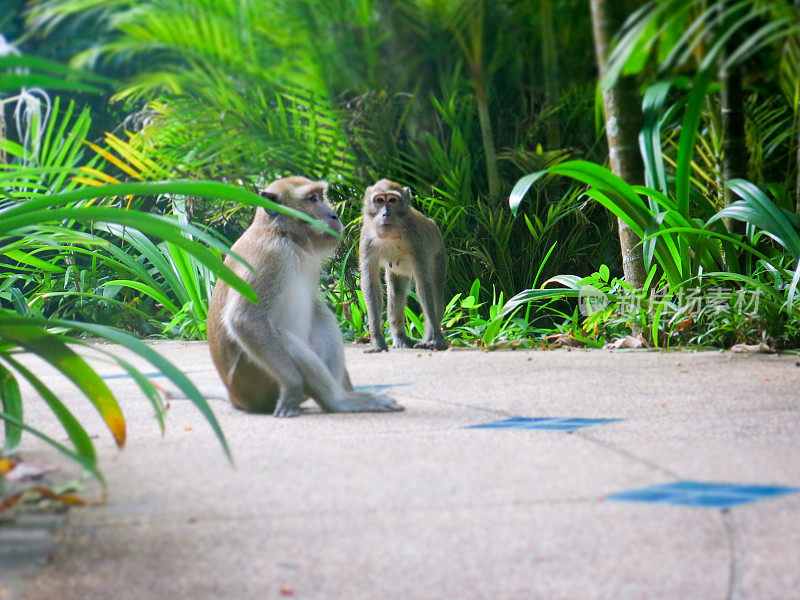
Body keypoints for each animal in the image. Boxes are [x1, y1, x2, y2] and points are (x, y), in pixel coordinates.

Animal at [208, 176, 404, 414]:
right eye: (312, 199)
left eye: (321, 196)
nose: (334, 214)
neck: (285, 235)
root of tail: (235, 397)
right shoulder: (269, 257)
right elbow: (244, 319)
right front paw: (292, 387)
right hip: (254, 380)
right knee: (283, 338)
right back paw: (337, 401)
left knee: (322, 316)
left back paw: (346, 396)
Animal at [360, 180, 450, 354]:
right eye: (379, 200)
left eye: (392, 200)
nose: (385, 214)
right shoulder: (366, 237)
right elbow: (371, 284)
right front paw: (377, 341)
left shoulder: (416, 239)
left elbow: (424, 286)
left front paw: (436, 338)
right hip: (397, 272)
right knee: (397, 291)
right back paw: (400, 337)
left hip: (440, 255)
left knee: (435, 289)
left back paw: (430, 336)